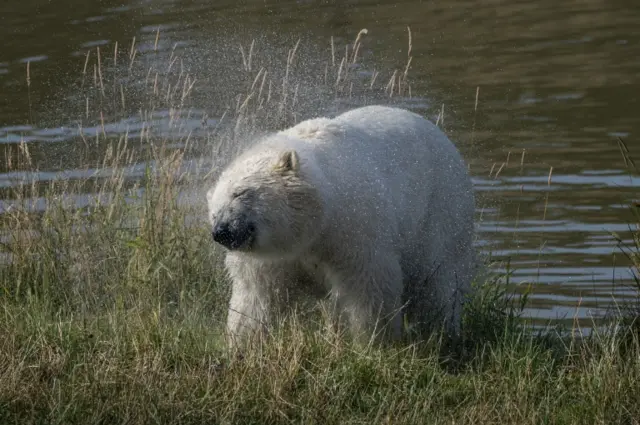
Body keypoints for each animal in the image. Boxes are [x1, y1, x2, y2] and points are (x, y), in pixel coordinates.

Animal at [205, 104, 476, 346]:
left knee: (438, 282)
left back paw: (443, 333)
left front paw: (373, 343)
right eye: (213, 210)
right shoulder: (274, 256)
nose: (221, 232)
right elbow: (256, 296)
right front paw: (240, 346)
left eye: (240, 192)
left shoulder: (354, 230)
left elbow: (369, 288)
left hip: (441, 210)